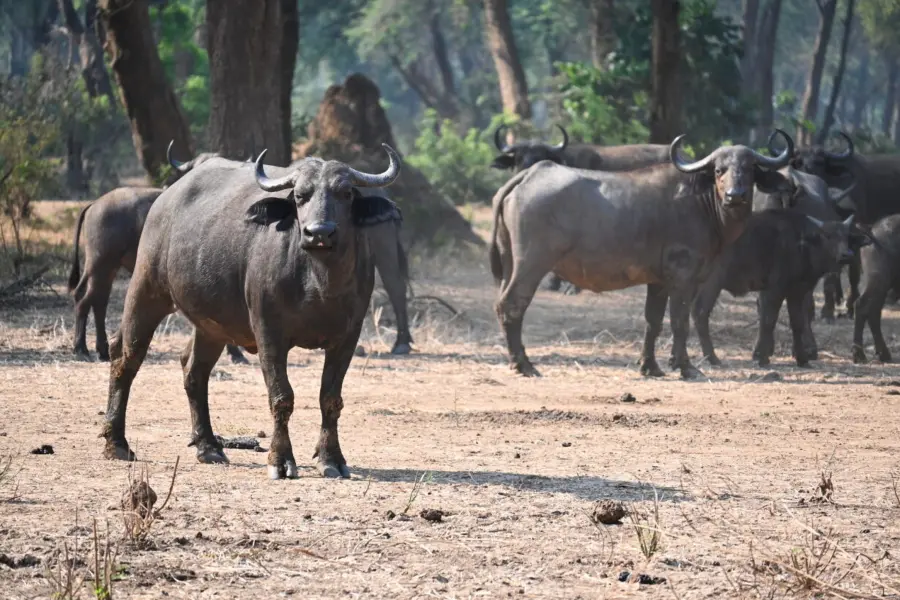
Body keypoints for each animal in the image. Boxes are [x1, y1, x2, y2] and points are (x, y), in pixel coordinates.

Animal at [99, 143, 404, 480]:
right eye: (300, 195)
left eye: (346, 193)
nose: (319, 232)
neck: (319, 282)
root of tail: (164, 200)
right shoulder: (269, 332)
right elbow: (282, 396)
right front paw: (280, 460)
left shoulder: (347, 337)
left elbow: (330, 398)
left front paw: (331, 458)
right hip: (146, 288)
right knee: (125, 356)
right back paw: (117, 443)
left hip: (211, 325)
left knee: (194, 369)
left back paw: (209, 446)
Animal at [488, 130, 792, 380]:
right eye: (719, 170)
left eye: (749, 169)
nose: (734, 195)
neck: (701, 202)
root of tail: (528, 175)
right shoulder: (683, 277)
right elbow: (679, 321)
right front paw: (685, 367)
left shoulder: (657, 282)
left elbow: (653, 322)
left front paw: (651, 366)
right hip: (532, 264)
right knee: (512, 304)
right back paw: (524, 365)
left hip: (508, 263)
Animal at [692, 211, 860, 370]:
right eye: (827, 235)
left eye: (846, 236)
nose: (847, 255)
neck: (800, 245)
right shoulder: (773, 290)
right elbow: (768, 321)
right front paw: (762, 358)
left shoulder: (797, 292)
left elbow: (798, 323)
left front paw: (802, 359)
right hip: (711, 283)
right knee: (700, 313)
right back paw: (712, 358)